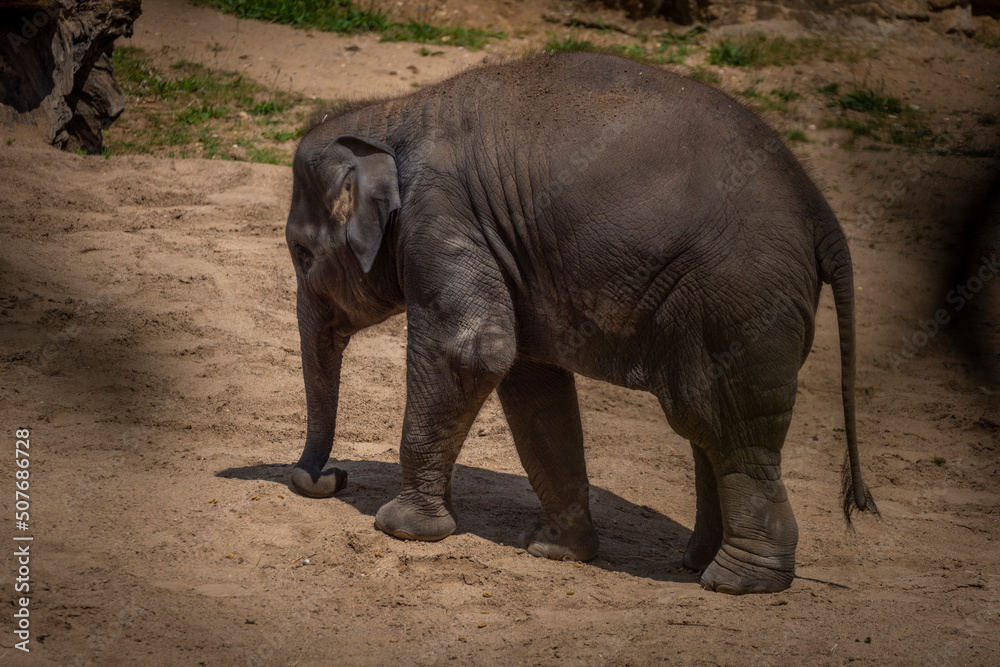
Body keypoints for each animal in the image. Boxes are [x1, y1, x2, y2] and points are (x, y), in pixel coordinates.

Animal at [283, 50, 878, 595]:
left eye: (302, 253)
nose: (330, 477)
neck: (392, 113)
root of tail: (823, 216)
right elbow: (530, 379)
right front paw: (555, 552)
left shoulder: (441, 216)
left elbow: (472, 350)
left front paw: (400, 528)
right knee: (708, 423)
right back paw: (697, 562)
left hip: (738, 298)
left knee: (725, 425)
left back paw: (737, 582)